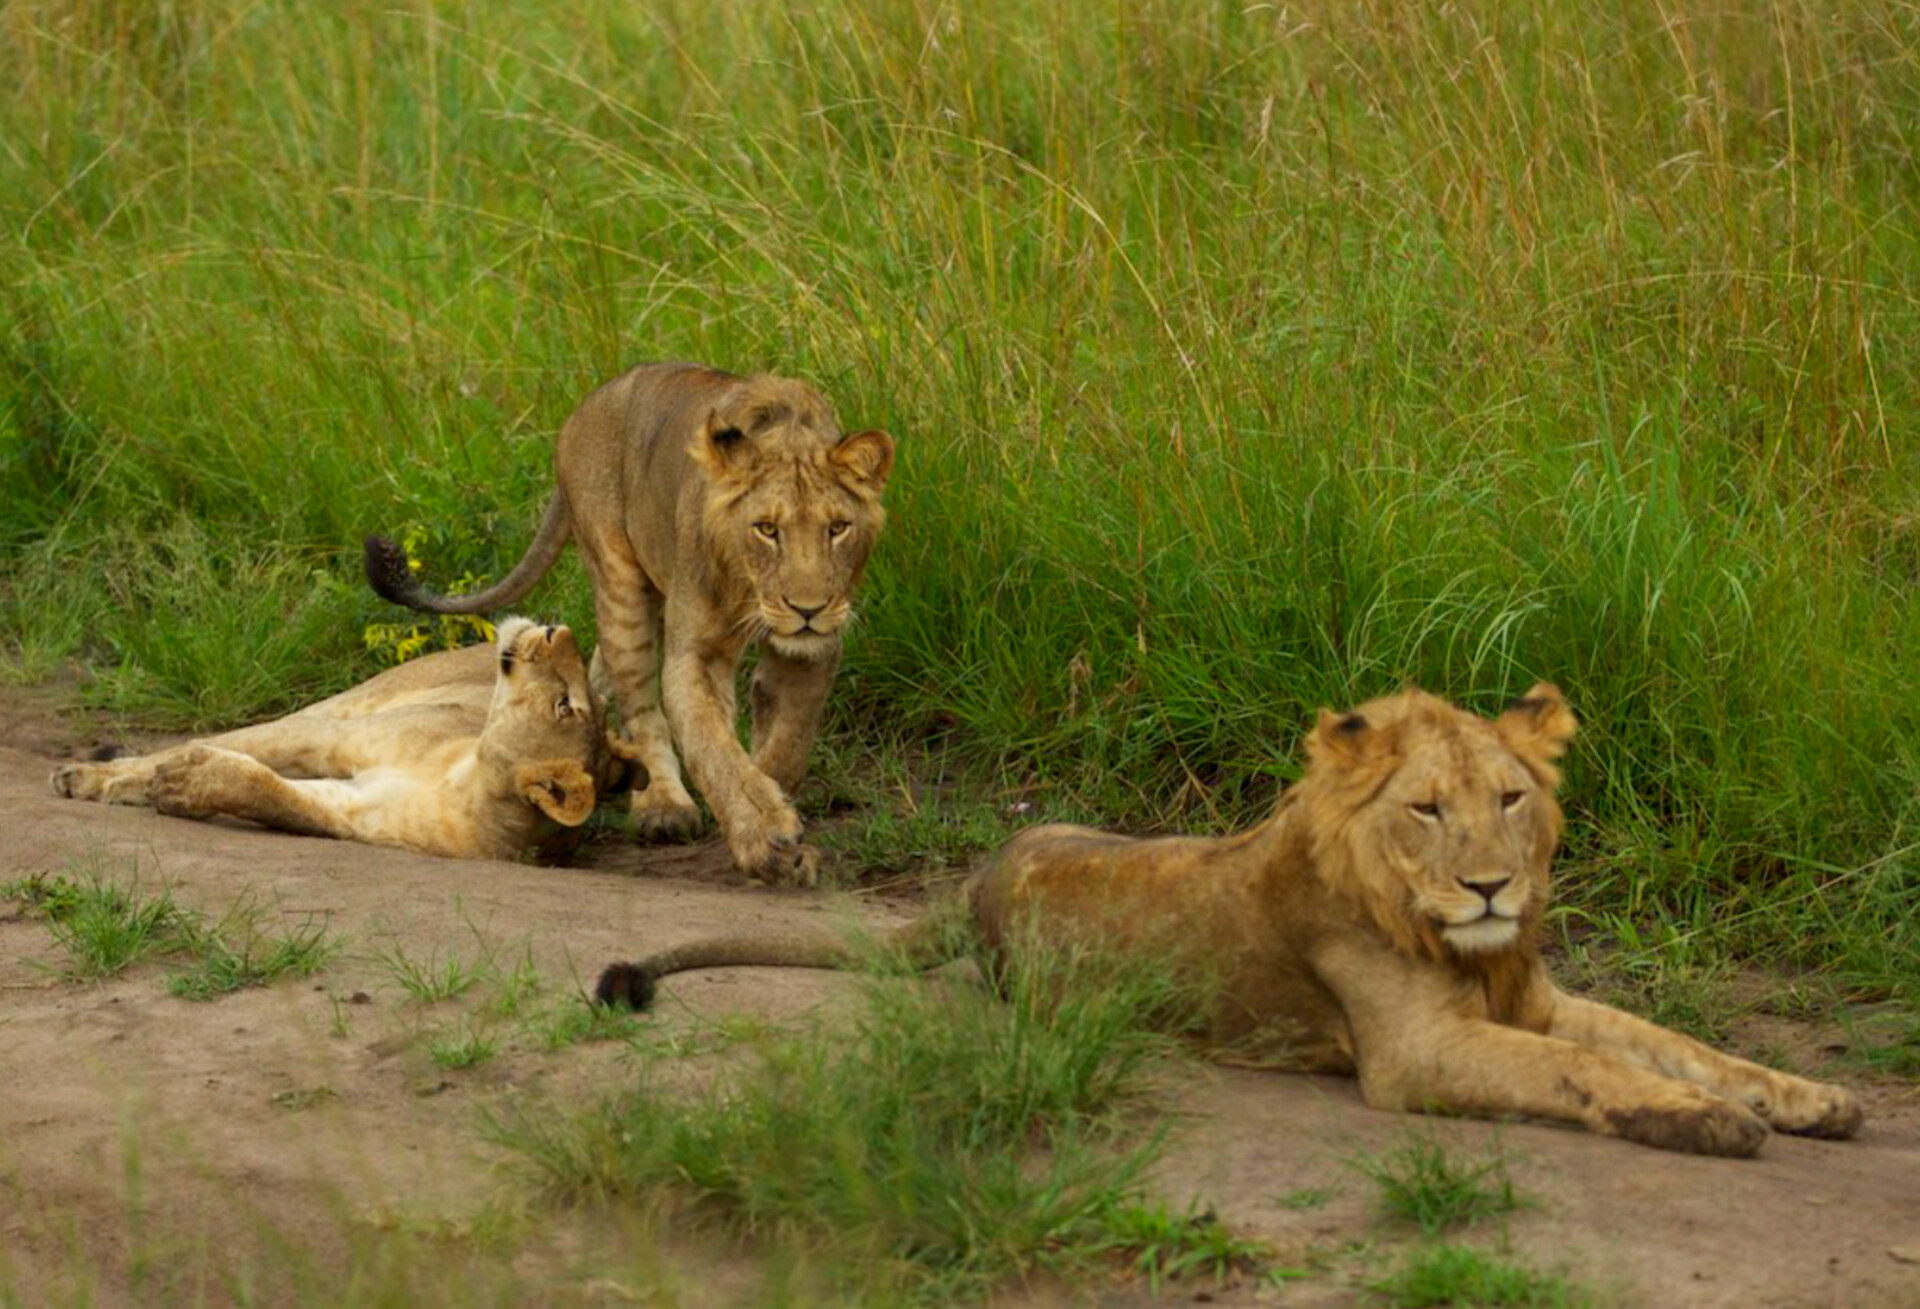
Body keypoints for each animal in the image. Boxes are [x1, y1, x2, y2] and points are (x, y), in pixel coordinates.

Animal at [50, 619, 609, 863]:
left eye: (565, 705)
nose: (558, 627)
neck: (463, 781)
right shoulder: (329, 737)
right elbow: (226, 745)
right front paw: (93, 776)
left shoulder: (352, 812)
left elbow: (272, 792)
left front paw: (185, 781)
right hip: (351, 701)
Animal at [364, 363, 894, 883]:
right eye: (767, 529)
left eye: (837, 528)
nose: (809, 609)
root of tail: (585, 407)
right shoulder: (694, 653)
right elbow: (712, 745)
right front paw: (762, 835)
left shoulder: (813, 650)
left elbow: (787, 743)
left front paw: (776, 808)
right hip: (621, 584)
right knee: (639, 701)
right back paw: (661, 807)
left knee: (599, 673)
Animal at [593, 684, 1863, 1157]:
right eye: (1426, 809)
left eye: (1511, 798)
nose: (1492, 888)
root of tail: (979, 878)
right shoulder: (1415, 1051)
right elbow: (1585, 1072)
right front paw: (1708, 1121)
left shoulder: (1536, 995)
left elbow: (1678, 1042)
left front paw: (1810, 1097)